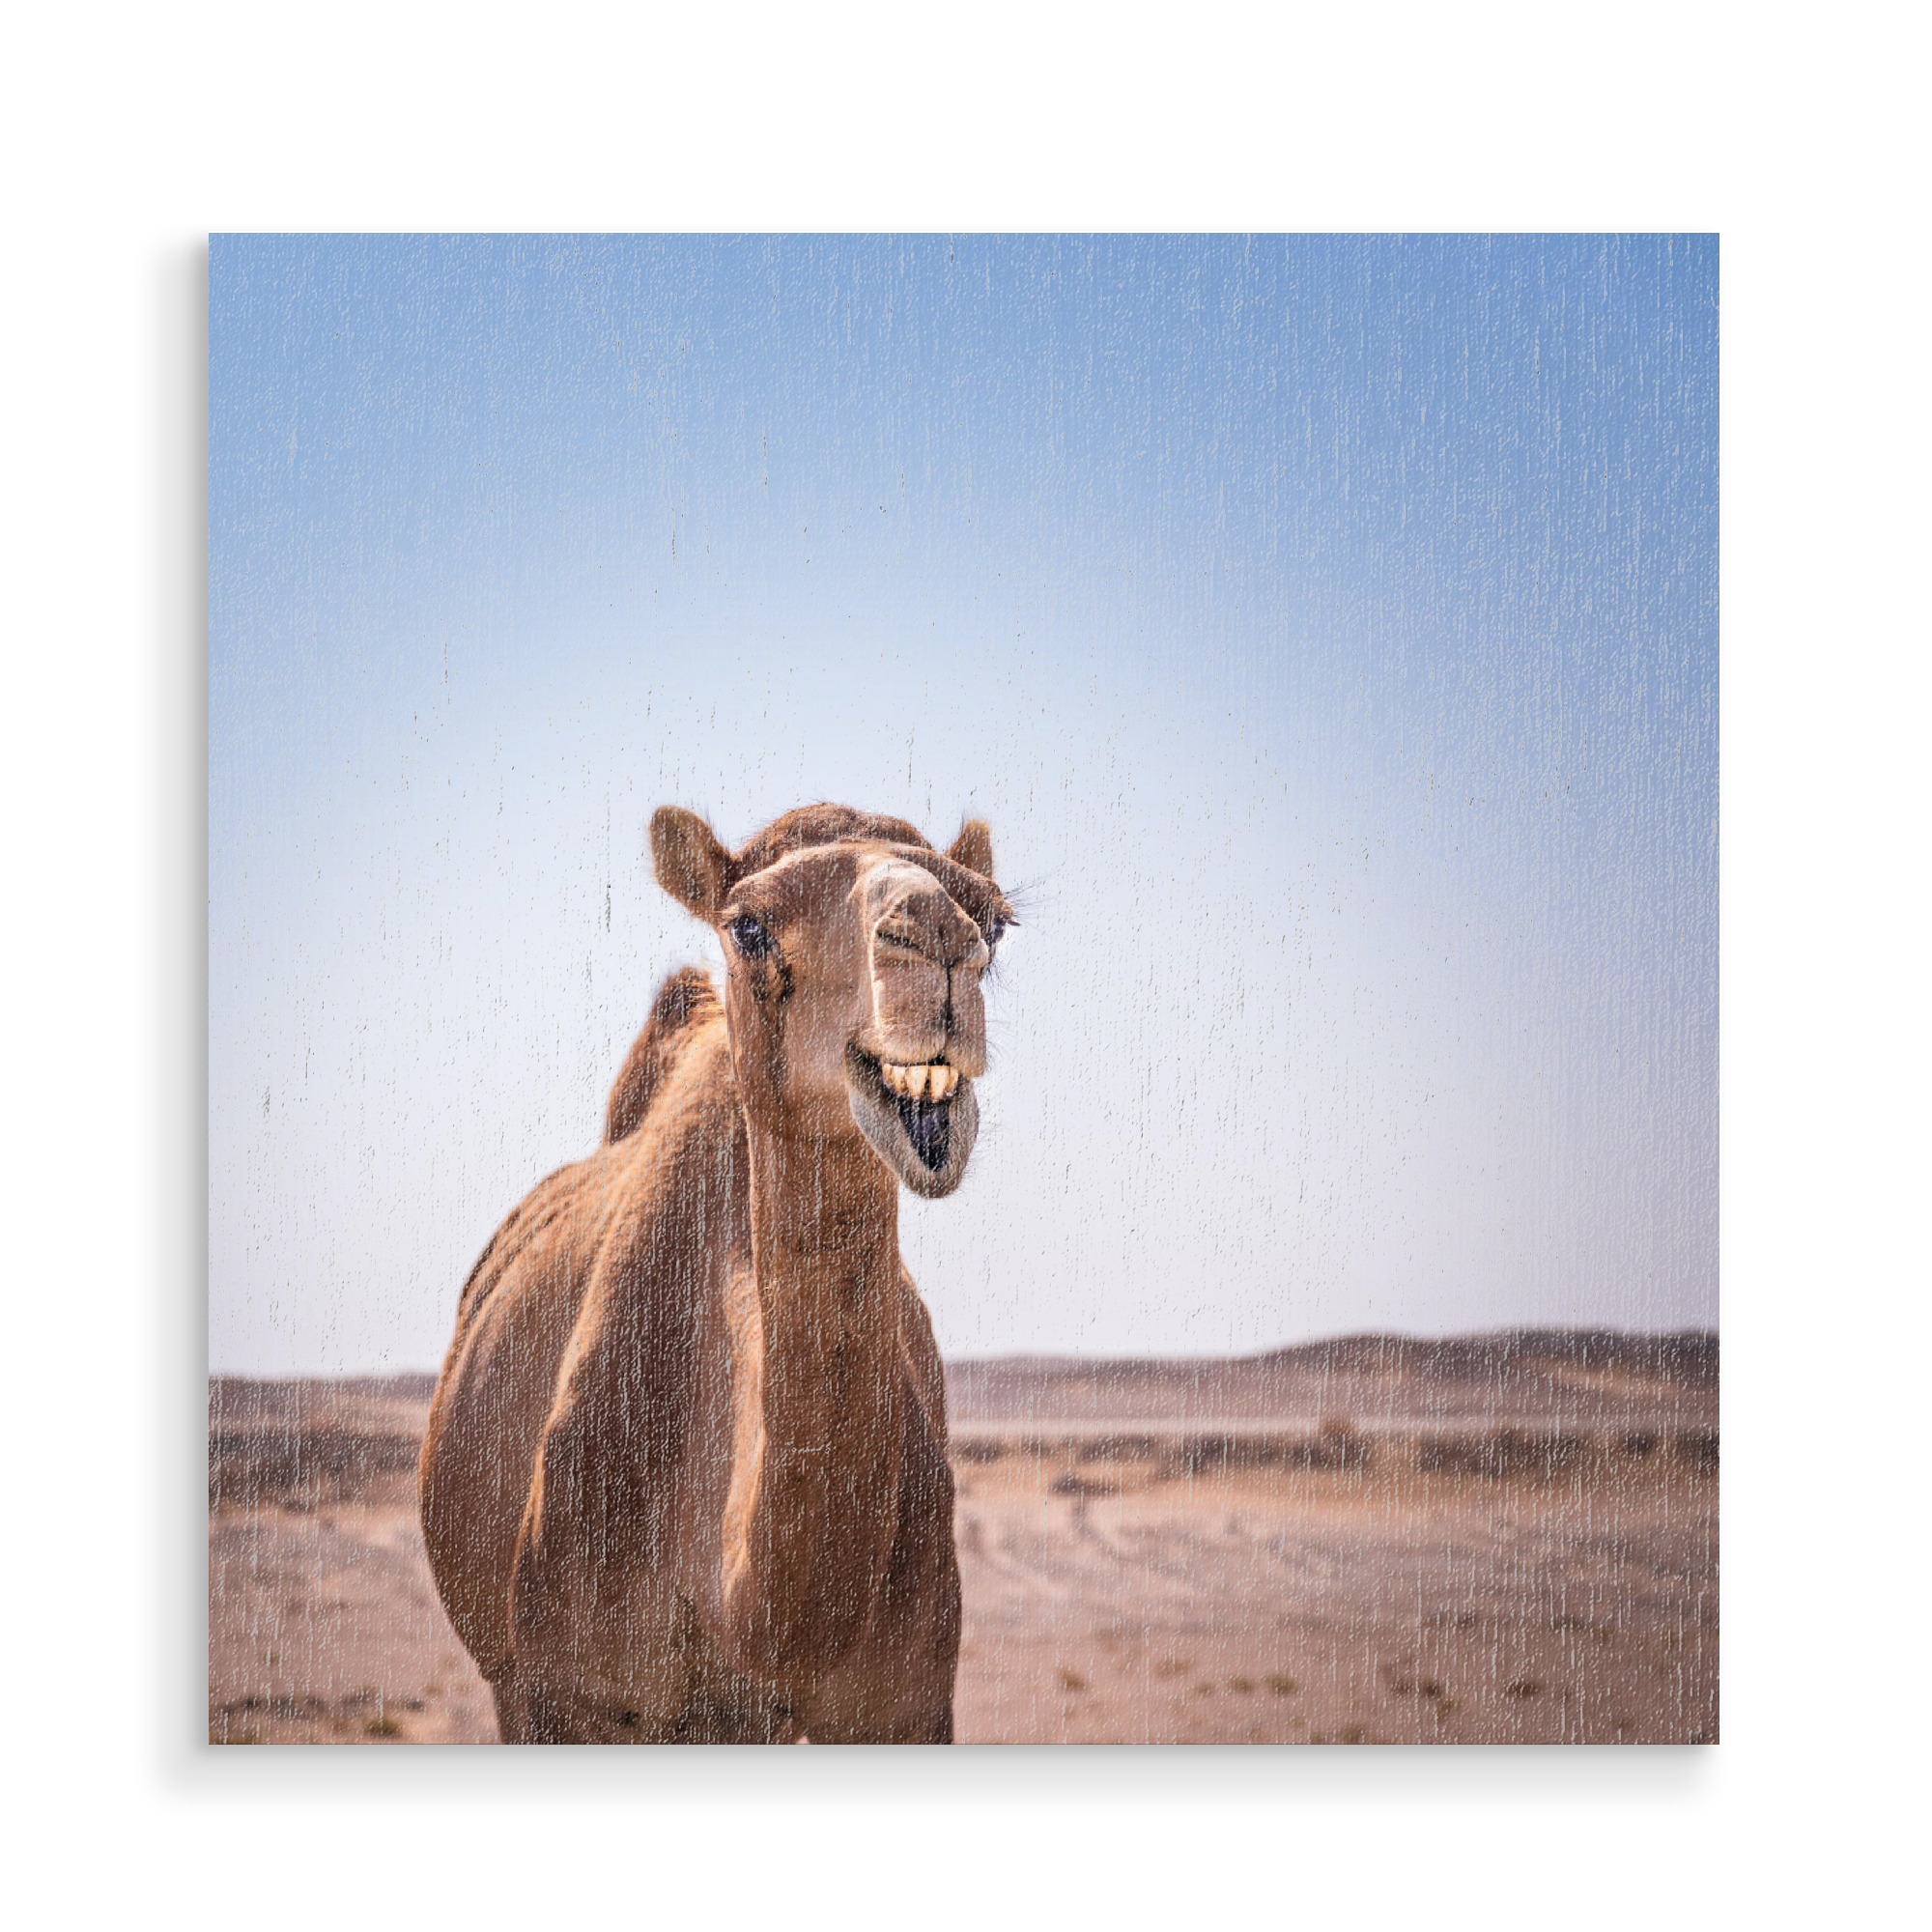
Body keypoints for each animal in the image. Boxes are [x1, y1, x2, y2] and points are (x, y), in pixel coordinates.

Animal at [419, 802, 1012, 1742]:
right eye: (750, 926)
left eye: (994, 920)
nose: (938, 943)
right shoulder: (565, 1693)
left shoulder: (905, 1701)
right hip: (508, 1678)